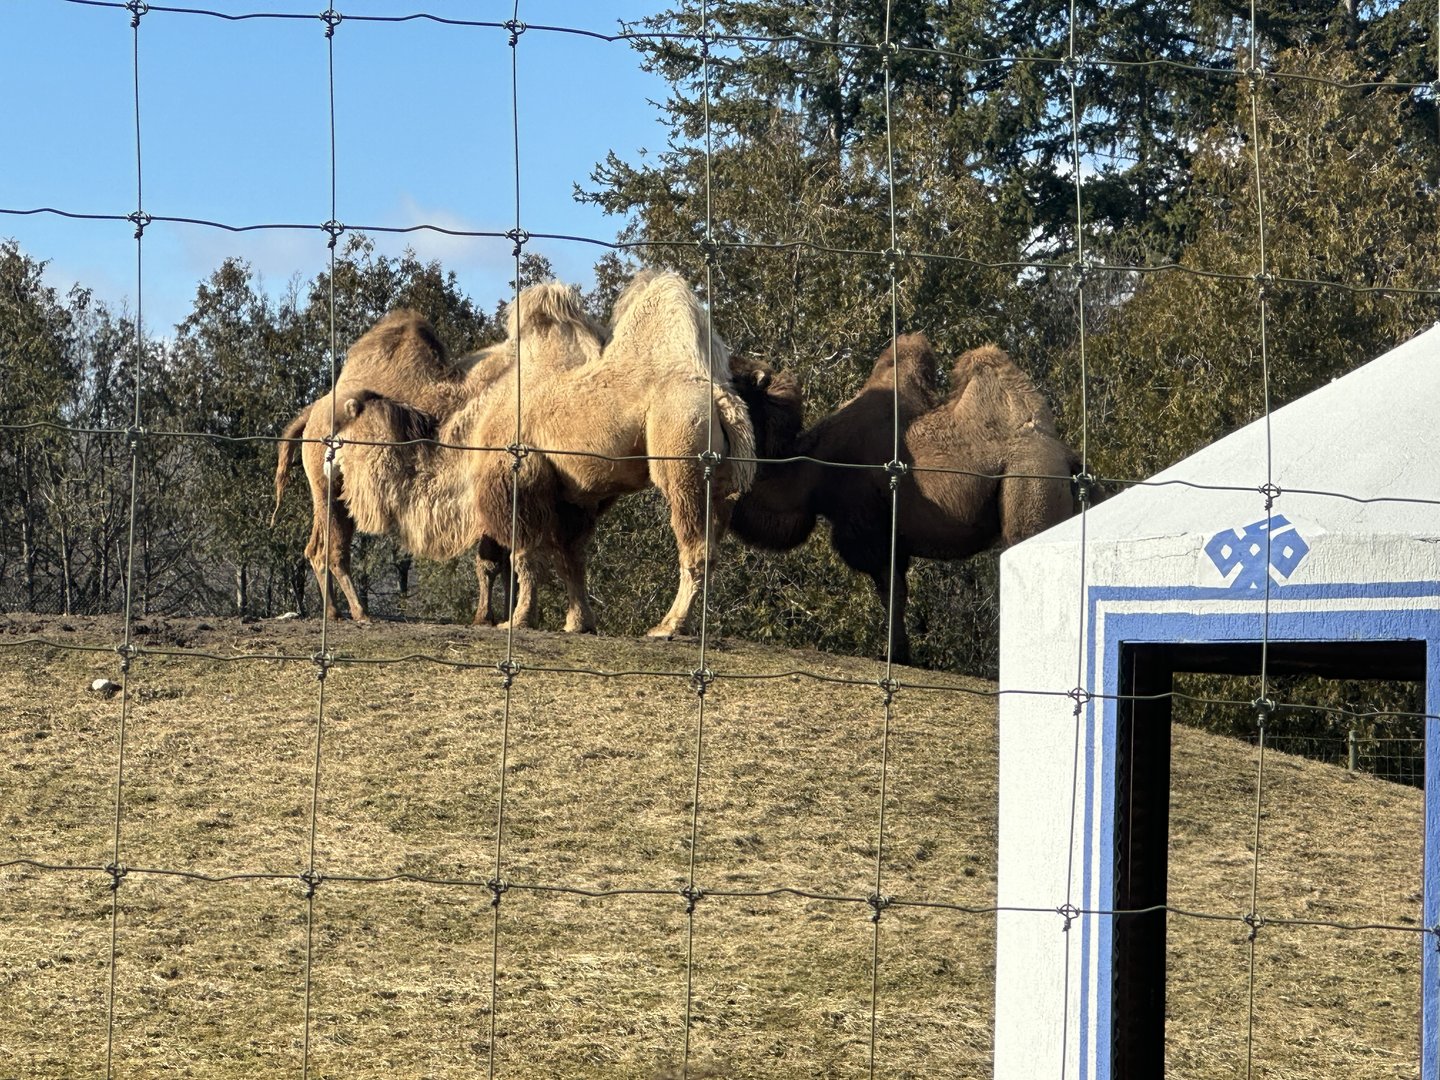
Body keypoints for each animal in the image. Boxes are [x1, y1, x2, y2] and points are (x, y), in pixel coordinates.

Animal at [273, 286, 608, 623]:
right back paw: (358, 611)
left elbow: (503, 562)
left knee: (316, 549)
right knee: (332, 551)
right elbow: (493, 562)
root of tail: (312, 411)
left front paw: (499, 616)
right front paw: (488, 616)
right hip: (330, 489)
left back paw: (334, 611)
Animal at [325, 269, 757, 639]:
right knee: (712, 542)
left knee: (694, 544)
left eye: (349, 425)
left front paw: (517, 620)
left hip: (681, 448)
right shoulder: (571, 496)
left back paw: (668, 626)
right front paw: (578, 622)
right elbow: (570, 560)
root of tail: (720, 397)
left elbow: (525, 556)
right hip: (720, 479)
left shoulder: (518, 478)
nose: (328, 456)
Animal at [729, 334, 1083, 665]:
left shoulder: (870, 526)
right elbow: (896, 591)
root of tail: (1068, 458)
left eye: (735, 381)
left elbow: (891, 592)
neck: (813, 469)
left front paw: (894, 654)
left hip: (1030, 483)